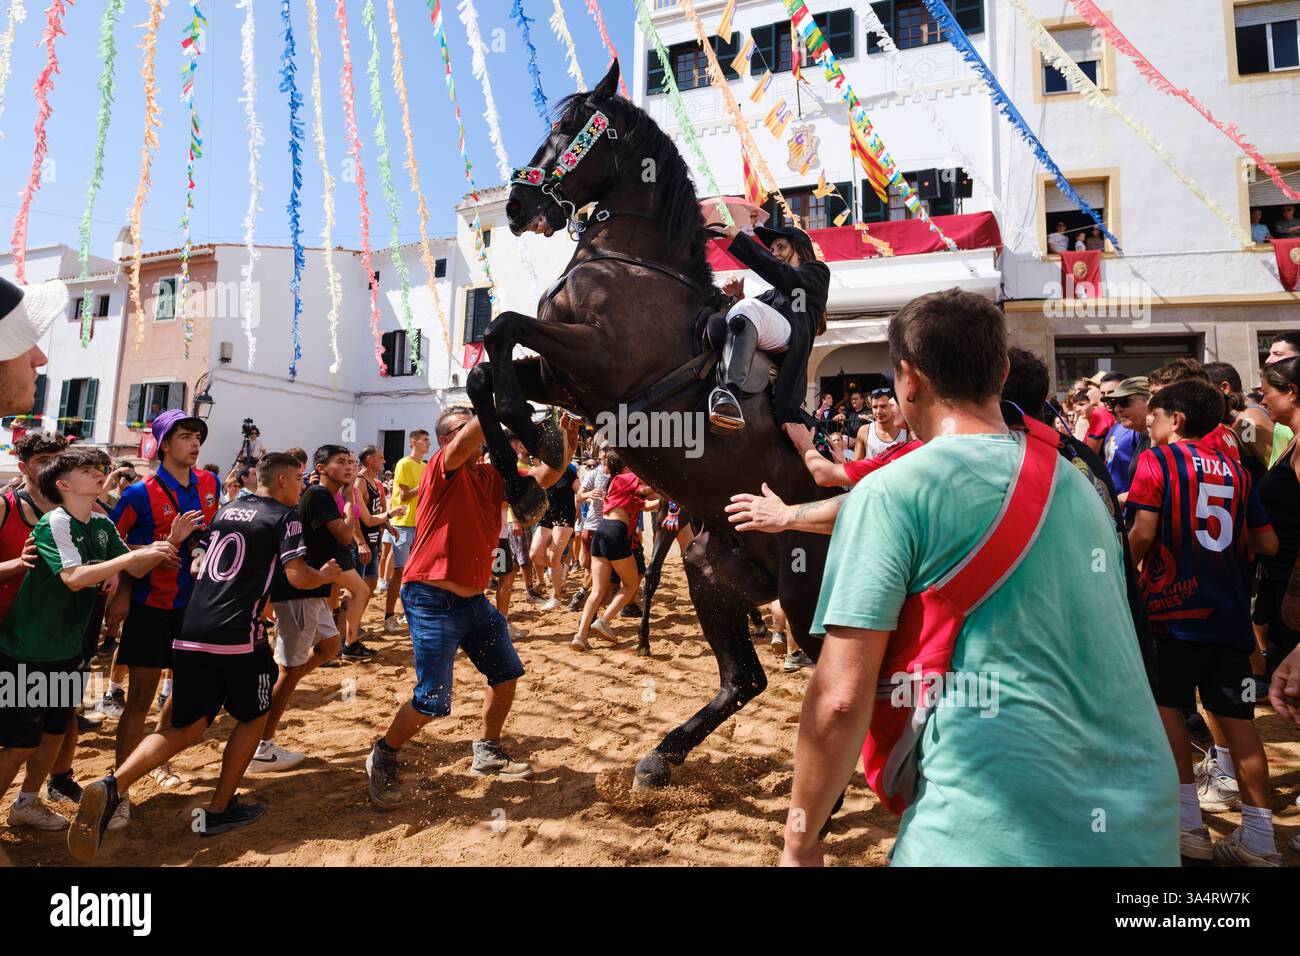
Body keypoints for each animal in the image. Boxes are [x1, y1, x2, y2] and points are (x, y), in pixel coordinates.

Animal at [467, 60, 835, 789]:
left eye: (566, 125)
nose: (518, 207)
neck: (628, 260)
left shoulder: (599, 362)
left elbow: (500, 328)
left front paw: (531, 441)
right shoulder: (568, 377)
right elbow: (482, 376)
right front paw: (526, 472)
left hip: (804, 595)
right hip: (709, 566)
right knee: (743, 680)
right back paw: (660, 757)